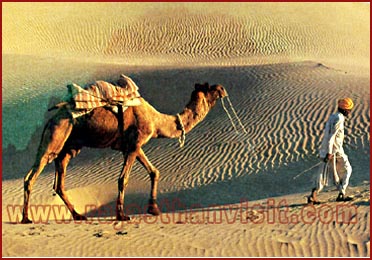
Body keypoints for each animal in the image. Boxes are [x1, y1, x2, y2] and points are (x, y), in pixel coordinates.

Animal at [22, 82, 230, 222]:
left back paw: (78, 215)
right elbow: (123, 179)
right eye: (211, 88)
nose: (223, 89)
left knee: (59, 184)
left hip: (68, 148)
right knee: (31, 176)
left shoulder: (133, 146)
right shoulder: (134, 144)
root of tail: (51, 119)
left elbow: (154, 172)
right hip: (54, 139)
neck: (157, 121)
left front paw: (153, 209)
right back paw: (26, 218)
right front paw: (122, 215)